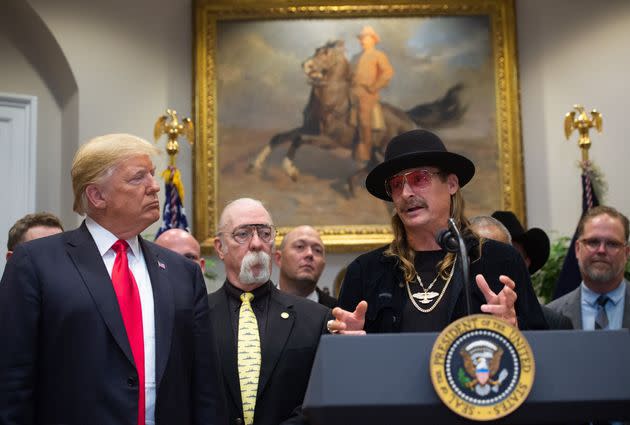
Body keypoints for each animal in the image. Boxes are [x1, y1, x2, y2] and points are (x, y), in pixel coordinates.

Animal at [249, 39, 466, 195]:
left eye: (326, 53)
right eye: (317, 49)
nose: (306, 65)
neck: (333, 104)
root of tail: (407, 116)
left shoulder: (329, 141)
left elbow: (298, 139)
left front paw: (291, 171)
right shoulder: (309, 128)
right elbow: (281, 137)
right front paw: (256, 165)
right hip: (373, 148)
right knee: (371, 163)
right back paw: (350, 185)